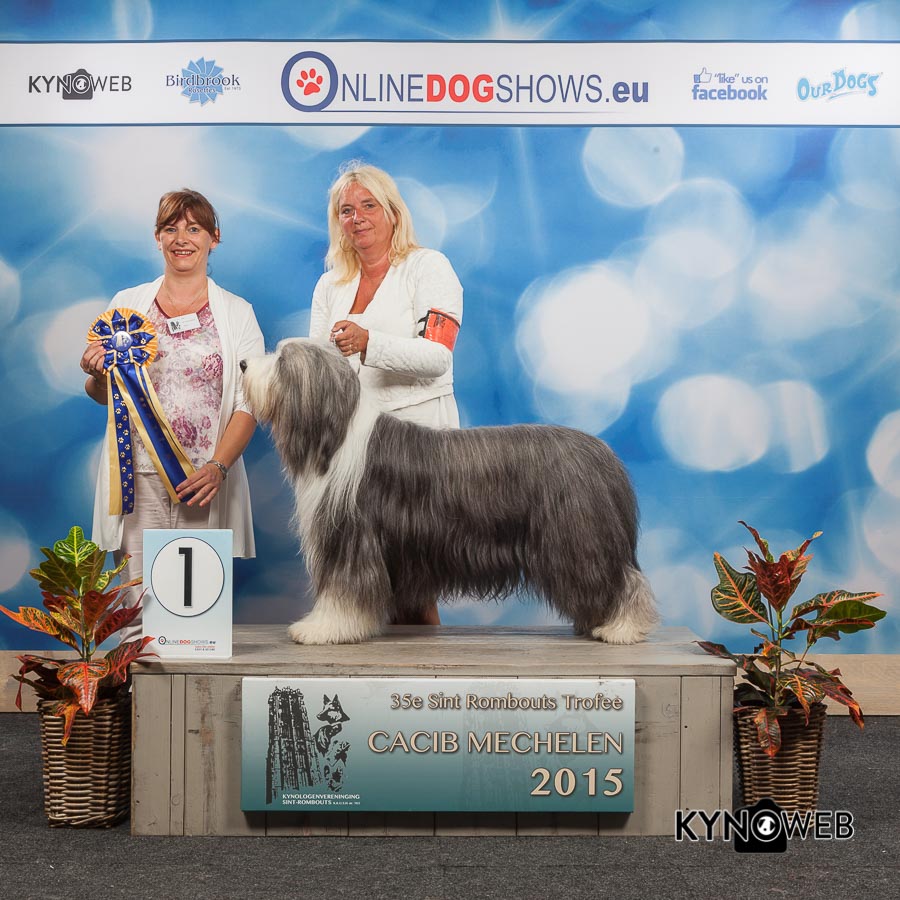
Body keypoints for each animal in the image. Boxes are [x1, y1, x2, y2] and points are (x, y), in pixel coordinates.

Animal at [241, 339, 657, 646]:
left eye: (281, 360)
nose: (244, 364)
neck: (337, 435)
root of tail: (603, 453)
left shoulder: (354, 538)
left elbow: (343, 590)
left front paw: (320, 628)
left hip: (577, 537)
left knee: (619, 579)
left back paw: (622, 628)